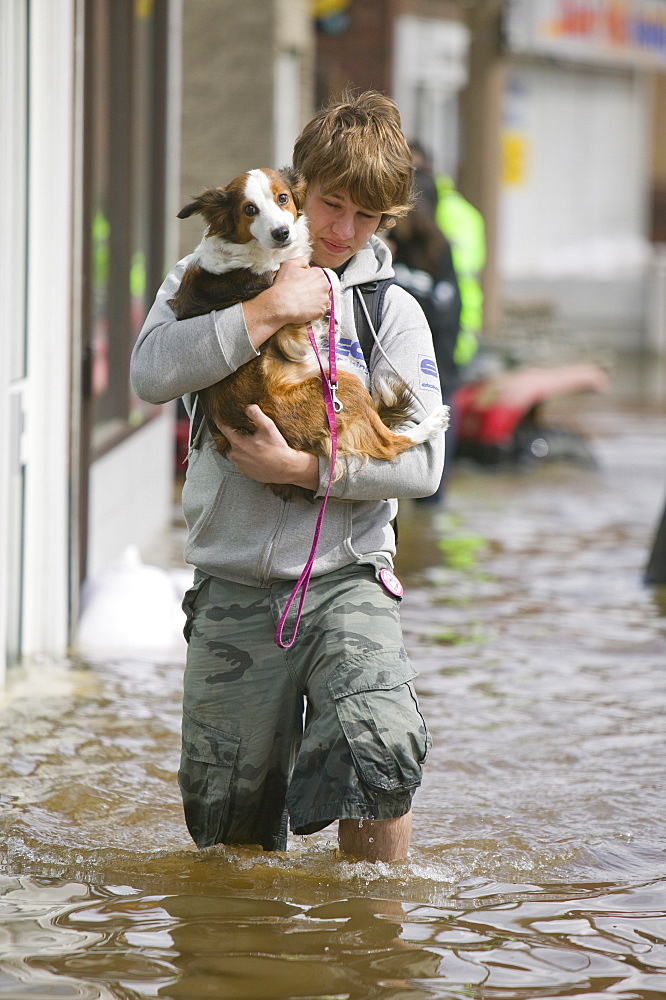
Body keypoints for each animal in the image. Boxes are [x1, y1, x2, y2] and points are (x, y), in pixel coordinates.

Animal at [167, 169, 446, 504]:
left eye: (282, 198)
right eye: (249, 209)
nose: (281, 233)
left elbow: (326, 279)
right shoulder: (290, 321)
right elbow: (326, 280)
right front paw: (331, 308)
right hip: (344, 388)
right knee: (388, 444)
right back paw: (431, 423)